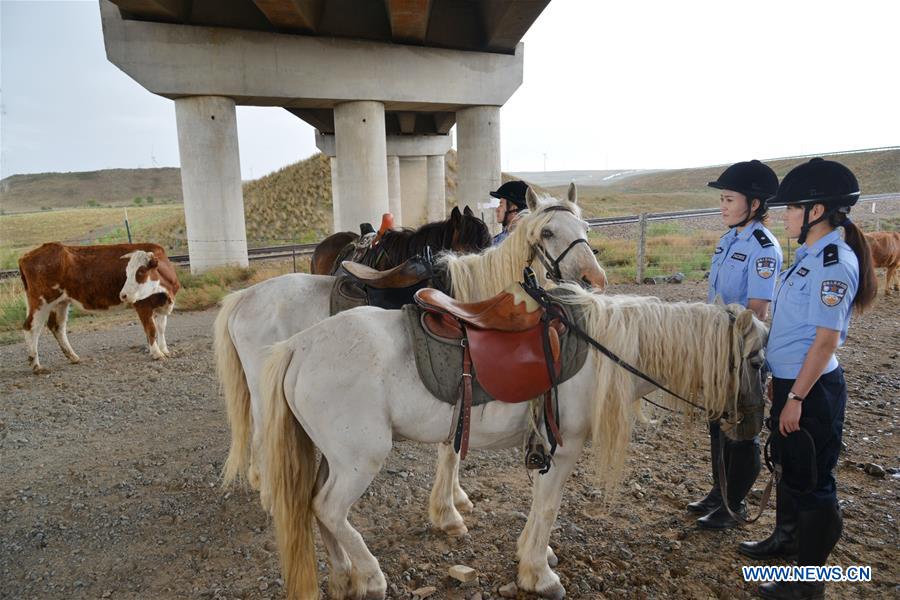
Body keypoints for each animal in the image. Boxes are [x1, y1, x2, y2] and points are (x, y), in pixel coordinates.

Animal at [18, 241, 179, 372]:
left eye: (141, 271)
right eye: (126, 273)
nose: (123, 295)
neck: (165, 291)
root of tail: (26, 256)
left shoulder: (162, 305)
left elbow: (161, 328)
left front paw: (165, 350)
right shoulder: (142, 305)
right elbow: (151, 329)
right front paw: (157, 354)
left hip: (60, 302)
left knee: (57, 327)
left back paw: (73, 357)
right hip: (41, 302)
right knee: (31, 327)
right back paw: (36, 365)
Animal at [258, 288, 768, 600]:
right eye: (758, 361)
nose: (752, 428)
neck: (600, 348)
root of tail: (299, 346)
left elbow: (540, 506)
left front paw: (534, 556)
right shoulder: (563, 449)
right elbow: (548, 506)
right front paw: (539, 575)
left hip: (334, 459)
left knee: (316, 507)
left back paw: (345, 575)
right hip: (359, 461)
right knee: (329, 509)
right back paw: (370, 575)